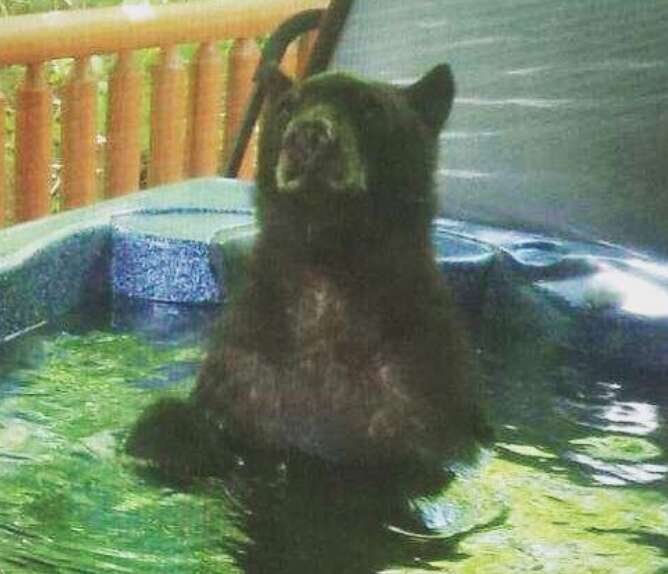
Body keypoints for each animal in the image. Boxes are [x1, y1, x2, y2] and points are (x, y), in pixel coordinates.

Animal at [193, 63, 490, 470]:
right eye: (287, 106)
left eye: (371, 107)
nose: (307, 135)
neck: (329, 264)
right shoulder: (243, 375)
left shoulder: (416, 391)